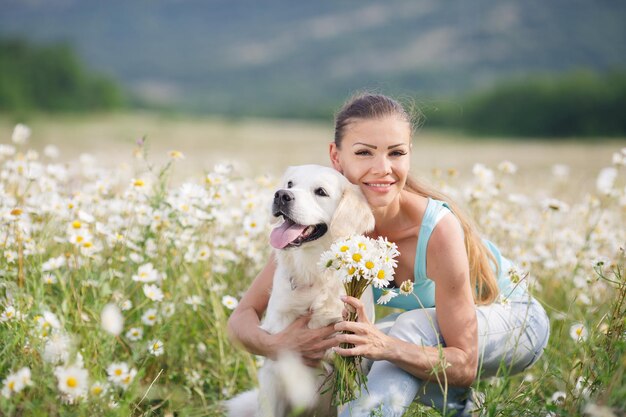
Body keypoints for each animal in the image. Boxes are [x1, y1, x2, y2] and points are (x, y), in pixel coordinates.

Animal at [229, 165, 376, 416]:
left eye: (321, 191)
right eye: (290, 184)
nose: (281, 196)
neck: (314, 275)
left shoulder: (349, 362)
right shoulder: (276, 365)